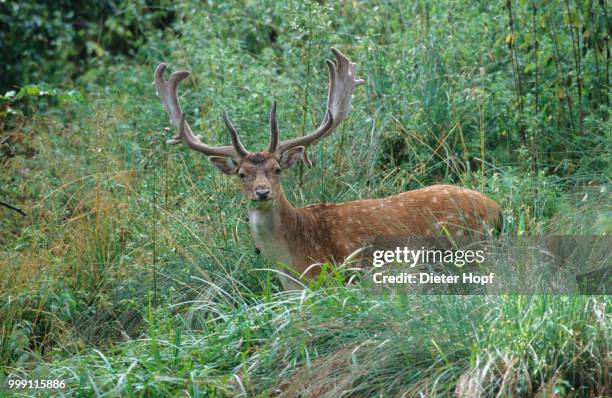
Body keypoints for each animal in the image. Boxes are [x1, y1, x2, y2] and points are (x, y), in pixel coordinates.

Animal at [154, 47, 502, 290]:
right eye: (242, 175)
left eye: (277, 169)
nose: (262, 192)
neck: (293, 266)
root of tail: (497, 209)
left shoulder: (337, 276)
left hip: (466, 247)